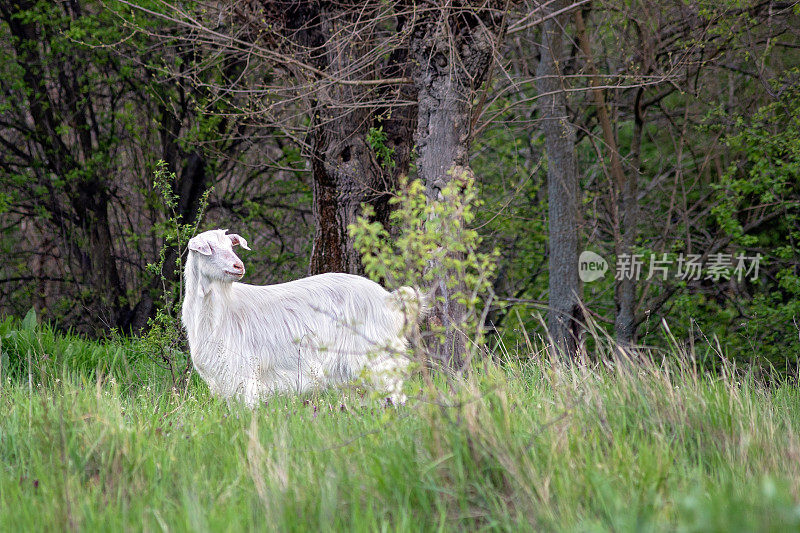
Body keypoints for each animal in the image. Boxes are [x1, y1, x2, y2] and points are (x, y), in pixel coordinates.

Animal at [179, 227, 422, 406]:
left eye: (231, 246)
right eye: (209, 248)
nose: (238, 266)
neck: (225, 311)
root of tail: (390, 299)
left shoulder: (245, 373)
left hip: (377, 356)